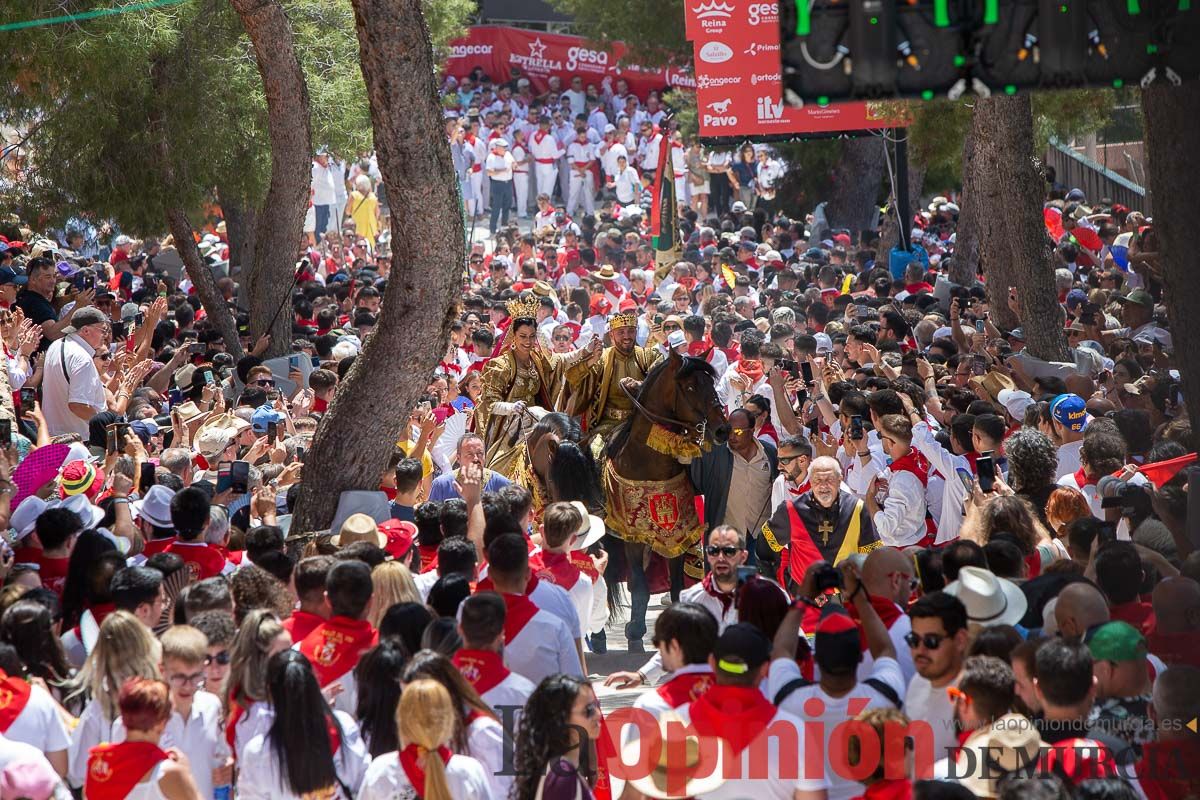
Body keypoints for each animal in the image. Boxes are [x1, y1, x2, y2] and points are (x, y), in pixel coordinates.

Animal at [604, 347, 724, 652]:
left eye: (712, 384)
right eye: (690, 387)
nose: (723, 430)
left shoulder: (677, 534)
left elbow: (676, 585)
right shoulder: (632, 534)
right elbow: (640, 587)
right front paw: (635, 633)